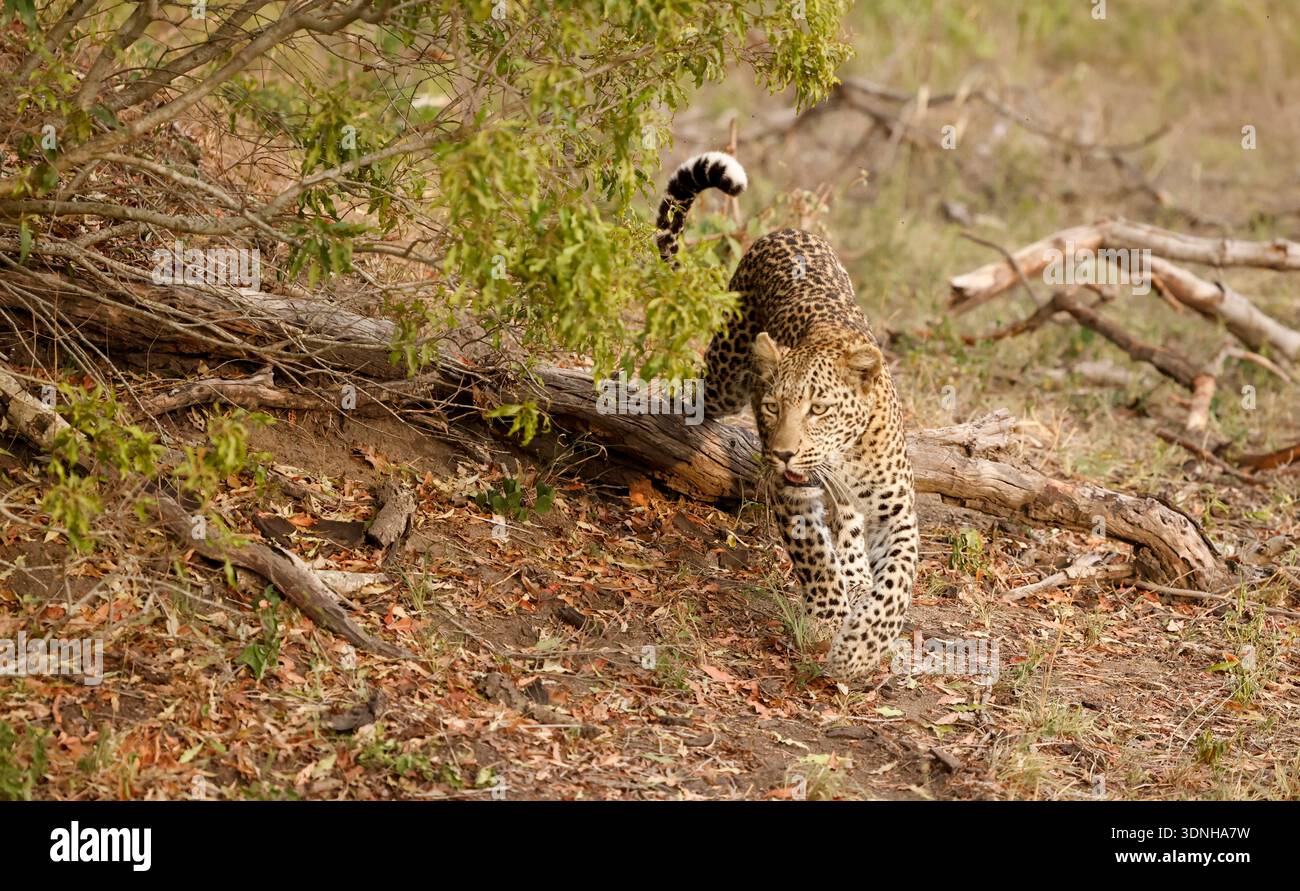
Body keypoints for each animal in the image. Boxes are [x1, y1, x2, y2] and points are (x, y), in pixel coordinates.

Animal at [656, 151, 918, 682]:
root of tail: (784, 230)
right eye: (774, 406)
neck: (846, 456)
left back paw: (857, 577)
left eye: (819, 409)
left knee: (851, 529)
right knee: (703, 392)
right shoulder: (792, 491)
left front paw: (859, 648)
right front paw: (829, 621)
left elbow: (896, 584)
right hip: (726, 377)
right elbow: (813, 553)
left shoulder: (897, 512)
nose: (782, 453)